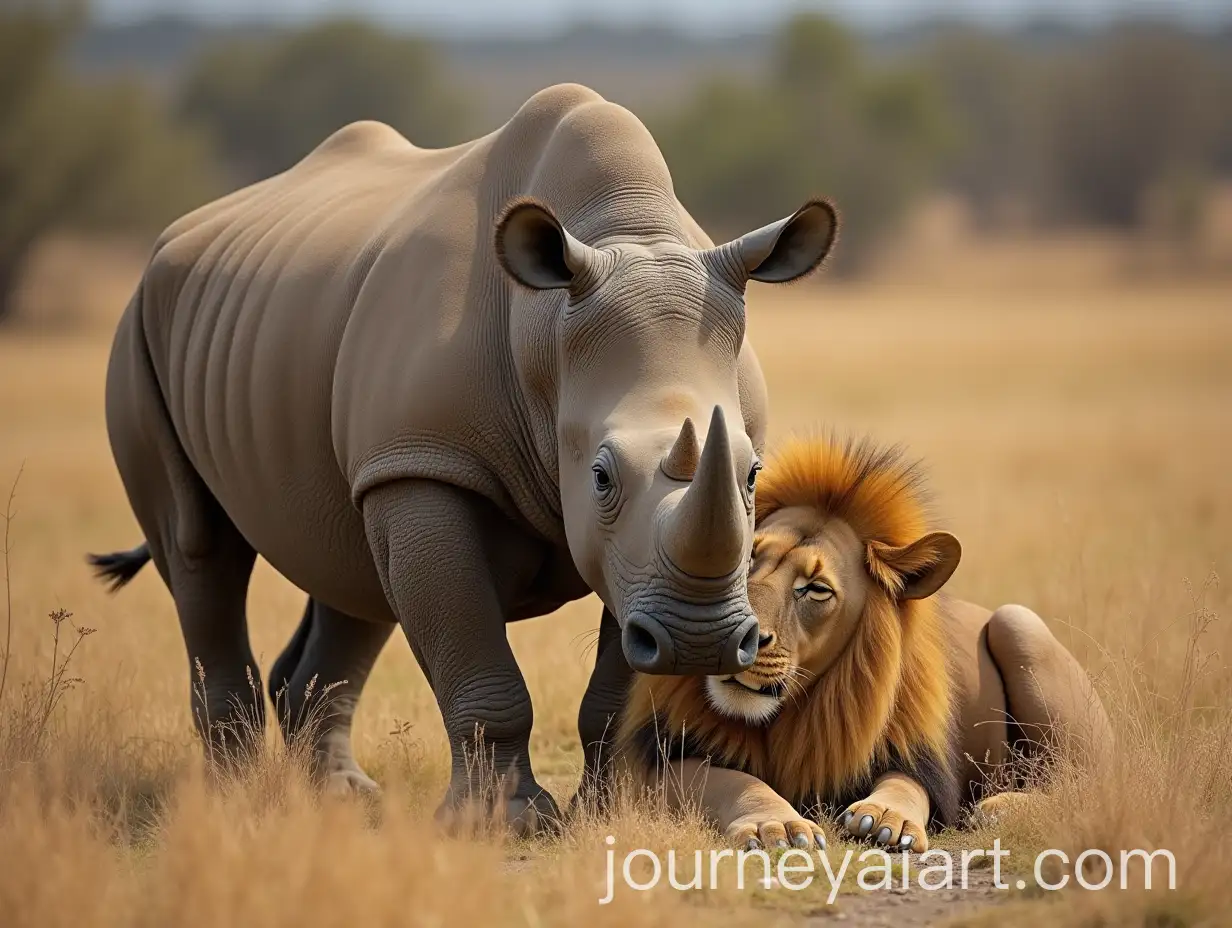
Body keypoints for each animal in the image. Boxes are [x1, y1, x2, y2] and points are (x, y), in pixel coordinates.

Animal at [88, 83, 837, 831]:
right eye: (599, 477)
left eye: (752, 475)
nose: (699, 639)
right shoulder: (424, 460)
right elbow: (474, 653)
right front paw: (508, 823)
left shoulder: (640, 560)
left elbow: (616, 679)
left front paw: (609, 813)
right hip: (142, 331)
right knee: (201, 547)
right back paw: (237, 801)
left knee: (350, 570)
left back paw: (340, 797)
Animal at [614, 434, 1113, 853]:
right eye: (748, 557)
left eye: (815, 589)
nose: (738, 637)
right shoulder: (659, 761)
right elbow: (729, 780)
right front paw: (775, 823)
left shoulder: (913, 753)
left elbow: (905, 785)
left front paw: (887, 817)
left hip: (1018, 623)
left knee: (1086, 783)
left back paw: (998, 808)